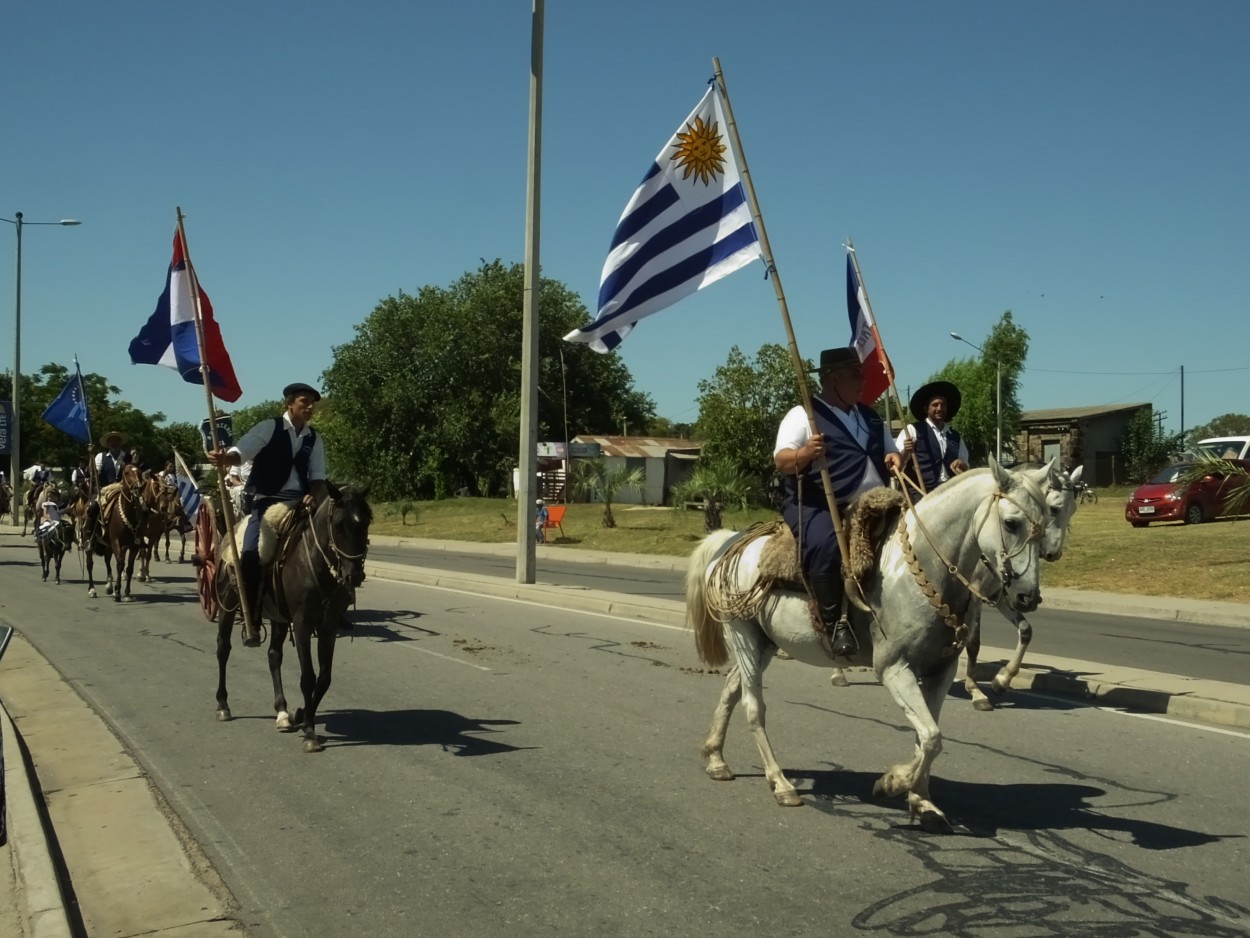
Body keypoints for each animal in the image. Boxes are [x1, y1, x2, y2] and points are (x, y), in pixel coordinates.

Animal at [212, 485, 370, 755]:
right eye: (339, 524)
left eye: (368, 521)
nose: (354, 575)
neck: (315, 562)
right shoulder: (302, 625)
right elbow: (308, 677)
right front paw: (309, 733)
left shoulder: (328, 627)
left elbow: (324, 678)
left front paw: (302, 715)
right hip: (228, 604)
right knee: (223, 649)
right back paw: (223, 705)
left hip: (278, 618)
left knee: (274, 655)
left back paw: (282, 712)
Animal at [690, 460, 1050, 835]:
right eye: (1011, 523)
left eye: (1047, 522)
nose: (1028, 597)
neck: (922, 567)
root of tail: (732, 541)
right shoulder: (894, 668)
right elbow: (931, 737)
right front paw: (893, 782)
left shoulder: (940, 670)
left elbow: (928, 736)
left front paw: (922, 802)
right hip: (743, 635)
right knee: (753, 707)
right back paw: (781, 783)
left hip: (764, 644)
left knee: (731, 689)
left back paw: (716, 759)